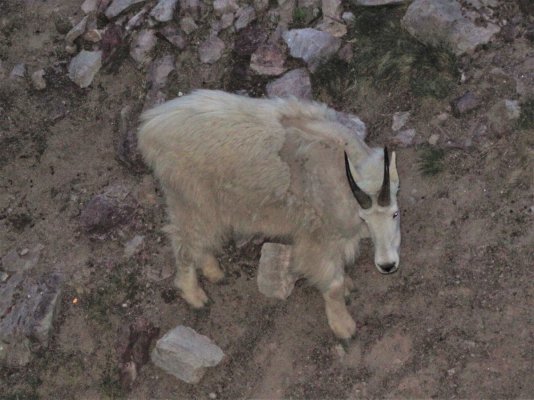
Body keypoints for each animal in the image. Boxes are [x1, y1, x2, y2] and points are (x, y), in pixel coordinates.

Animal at [138, 90, 402, 338]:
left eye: (395, 214)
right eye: (364, 218)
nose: (388, 265)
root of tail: (149, 129)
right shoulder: (317, 235)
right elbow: (332, 283)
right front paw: (344, 327)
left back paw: (214, 272)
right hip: (191, 200)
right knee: (183, 240)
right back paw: (195, 295)